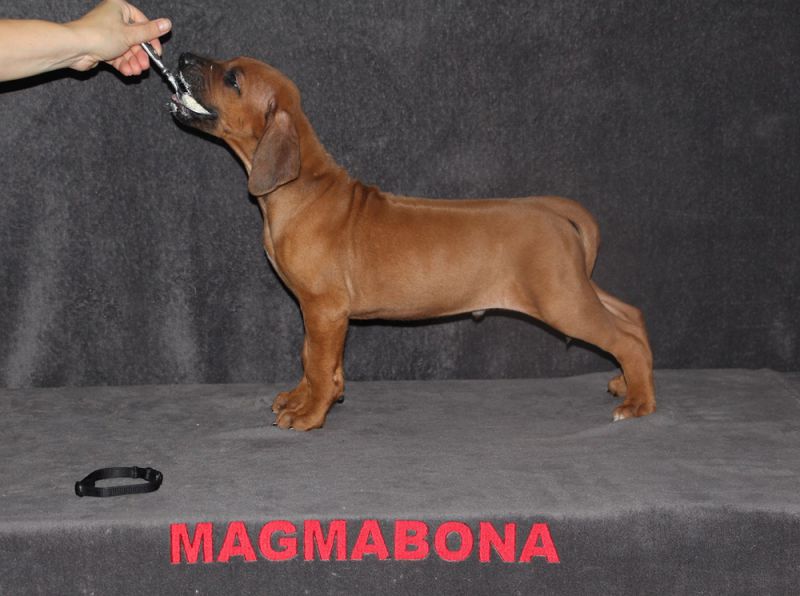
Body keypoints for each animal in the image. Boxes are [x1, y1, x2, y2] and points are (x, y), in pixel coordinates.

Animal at [170, 53, 656, 430]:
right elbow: (315, 357)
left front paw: (309, 414)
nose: (182, 57)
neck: (303, 187)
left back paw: (637, 402)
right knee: (630, 315)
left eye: (233, 79)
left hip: (560, 298)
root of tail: (550, 211)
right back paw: (630, 382)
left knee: (623, 337)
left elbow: (316, 359)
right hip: (572, 287)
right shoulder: (321, 312)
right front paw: (308, 397)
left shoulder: (324, 307)